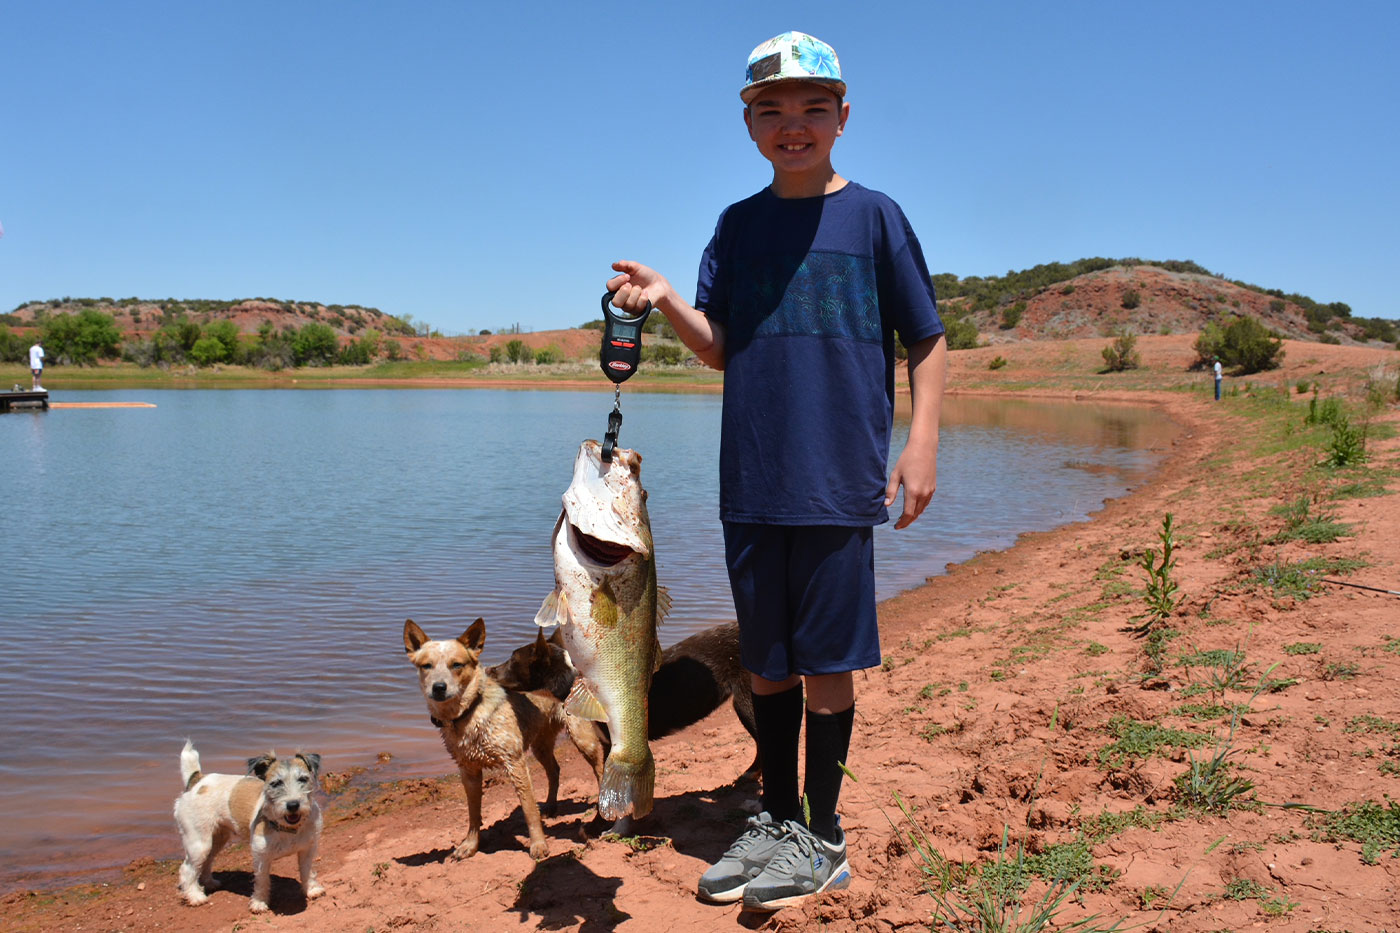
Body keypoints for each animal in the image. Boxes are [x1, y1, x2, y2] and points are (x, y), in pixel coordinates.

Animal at [172, 739, 324, 907]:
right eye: (276, 783)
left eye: (303, 779)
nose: (293, 805)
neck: (289, 829)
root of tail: (197, 779)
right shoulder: (261, 856)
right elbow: (262, 880)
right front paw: (259, 902)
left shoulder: (308, 849)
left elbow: (307, 871)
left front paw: (312, 890)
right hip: (199, 843)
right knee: (187, 869)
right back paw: (195, 896)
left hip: (217, 839)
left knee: (206, 861)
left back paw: (209, 883)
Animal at [400, 616, 607, 857]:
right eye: (426, 666)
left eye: (457, 665)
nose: (439, 687)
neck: (469, 712)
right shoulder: (468, 771)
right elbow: (473, 813)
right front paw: (470, 845)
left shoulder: (515, 763)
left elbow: (529, 810)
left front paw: (538, 845)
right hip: (540, 744)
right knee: (554, 770)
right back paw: (550, 806)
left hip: (583, 739)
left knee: (599, 768)